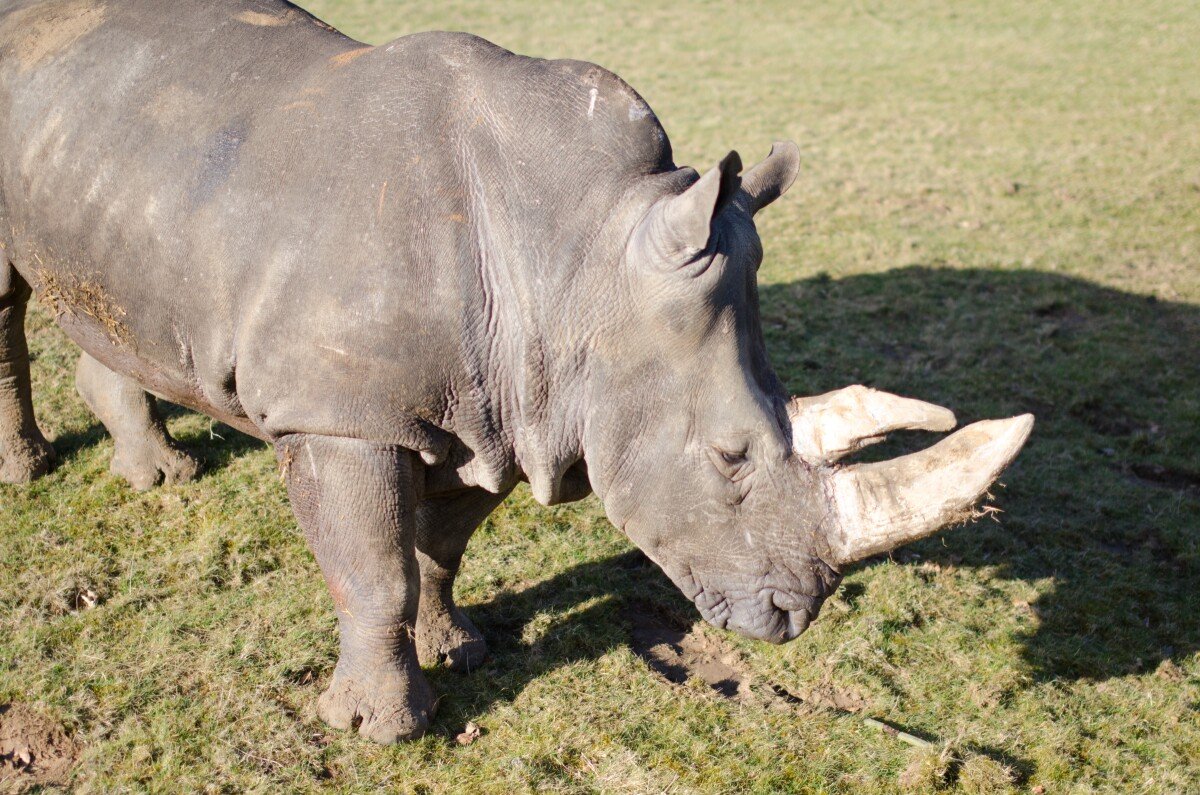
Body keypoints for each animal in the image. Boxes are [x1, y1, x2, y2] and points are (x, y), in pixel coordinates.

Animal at [0, 0, 1032, 743]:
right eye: (730, 457)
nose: (791, 616)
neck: (575, 256)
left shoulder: (505, 403)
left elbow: (438, 545)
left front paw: (458, 651)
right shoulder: (339, 414)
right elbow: (372, 567)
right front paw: (378, 729)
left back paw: (156, 476)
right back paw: (30, 471)